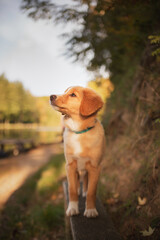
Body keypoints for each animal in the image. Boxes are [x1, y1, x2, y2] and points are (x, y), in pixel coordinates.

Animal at [50, 86, 105, 218]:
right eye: (65, 92)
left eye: (73, 95)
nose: (51, 96)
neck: (79, 132)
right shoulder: (70, 166)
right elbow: (72, 190)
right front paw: (72, 208)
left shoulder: (95, 167)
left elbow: (91, 191)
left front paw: (90, 210)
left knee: (85, 181)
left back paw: (84, 191)